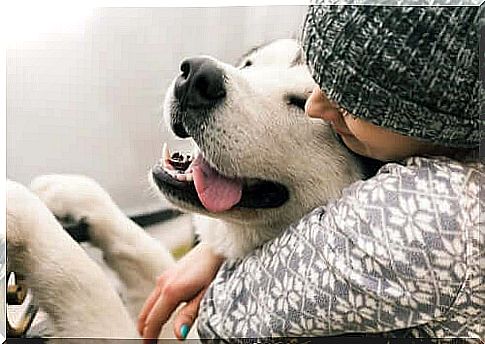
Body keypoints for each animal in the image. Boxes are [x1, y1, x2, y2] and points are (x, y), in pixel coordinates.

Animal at [6, 39, 364, 340]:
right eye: (250, 64)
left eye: (303, 103)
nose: (198, 77)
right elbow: (147, 254)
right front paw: (73, 194)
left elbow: (85, 281)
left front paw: (17, 208)